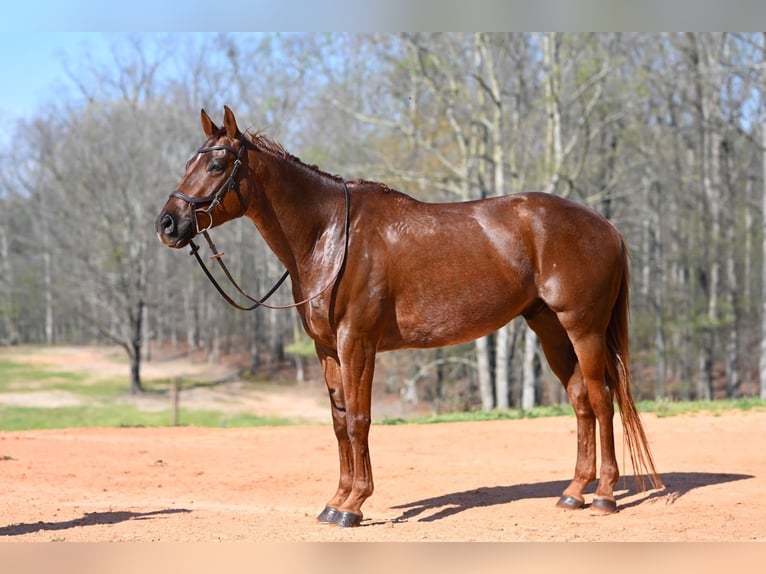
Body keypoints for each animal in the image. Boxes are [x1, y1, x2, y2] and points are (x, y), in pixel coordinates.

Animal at [156, 106, 663, 527]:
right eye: (189, 163)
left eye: (216, 166)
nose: (167, 224)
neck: (331, 234)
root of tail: (606, 227)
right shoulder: (327, 349)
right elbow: (339, 422)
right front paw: (335, 501)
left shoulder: (357, 341)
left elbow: (360, 419)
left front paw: (354, 505)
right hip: (549, 327)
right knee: (580, 400)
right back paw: (573, 493)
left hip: (583, 328)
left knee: (601, 399)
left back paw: (604, 495)